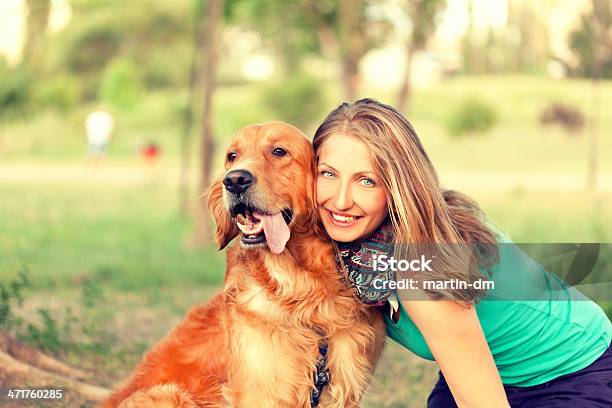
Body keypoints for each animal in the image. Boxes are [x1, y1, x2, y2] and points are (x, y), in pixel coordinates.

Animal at [103, 122, 384, 408]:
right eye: (232, 156)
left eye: (279, 151)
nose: (234, 180)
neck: (304, 295)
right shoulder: (261, 391)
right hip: (168, 395)